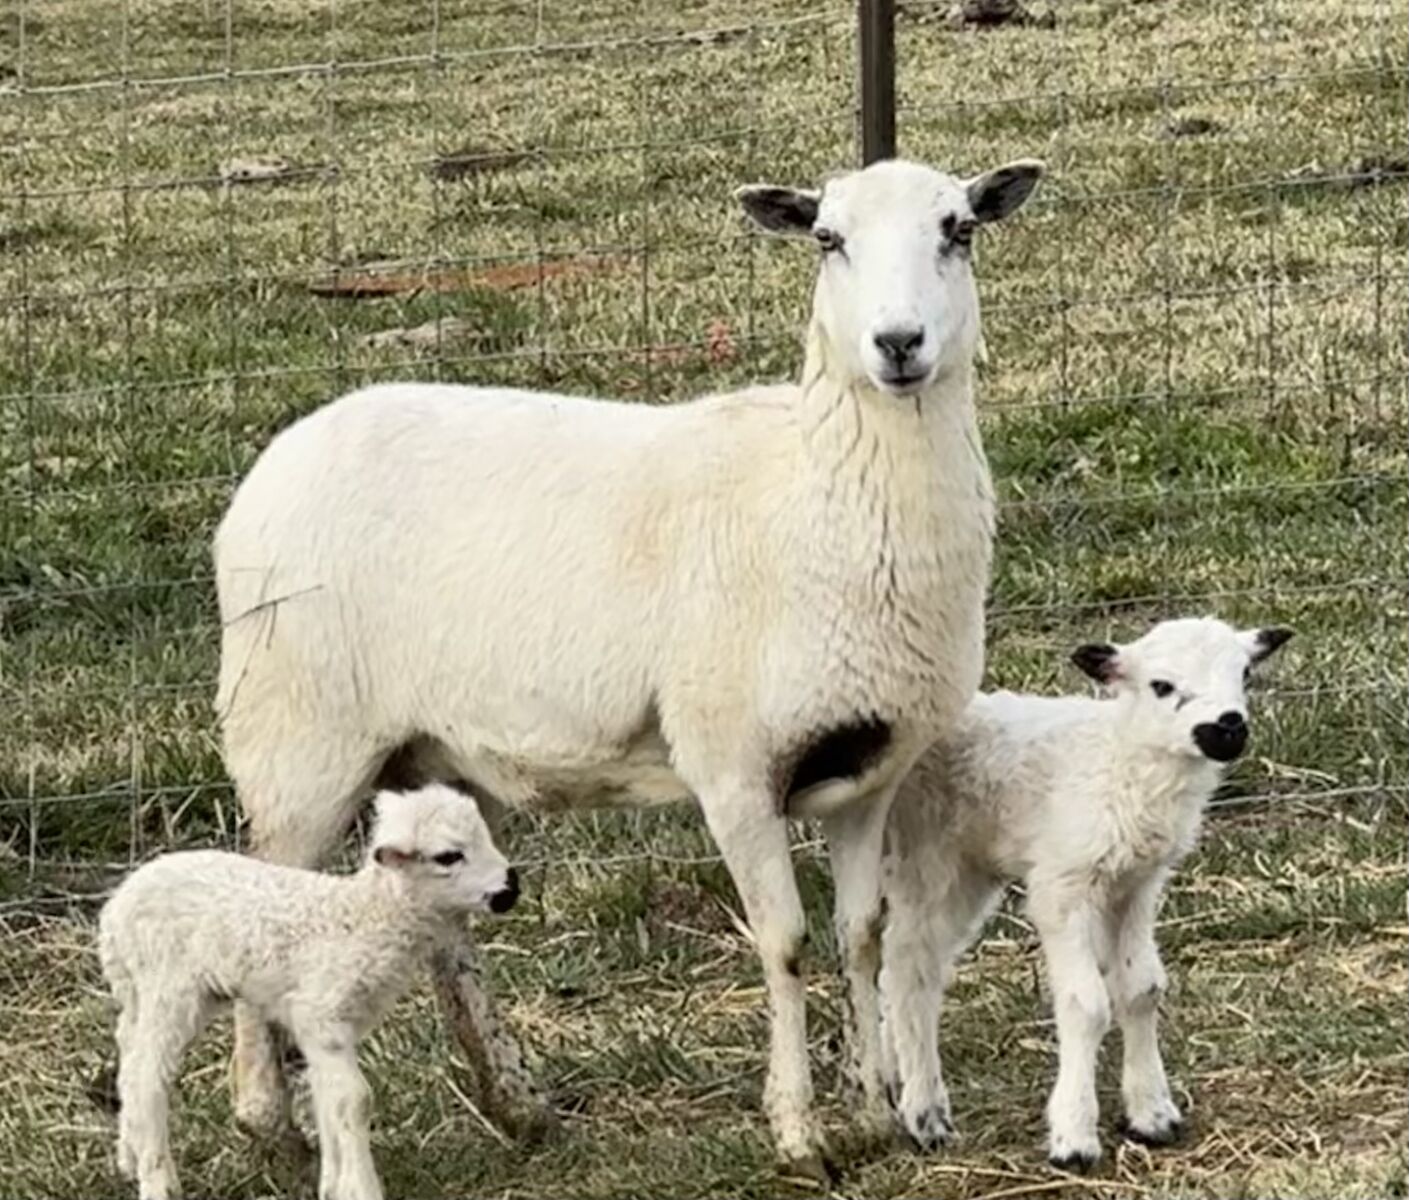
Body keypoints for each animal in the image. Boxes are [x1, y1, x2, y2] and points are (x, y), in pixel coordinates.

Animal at [97, 783, 519, 1200]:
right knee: (147, 1076)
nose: (511, 889)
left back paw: (129, 1157)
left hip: (141, 990)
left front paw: (332, 1183)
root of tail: (114, 912)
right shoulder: (321, 1016)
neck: (366, 918)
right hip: (170, 988)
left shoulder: (324, 1031)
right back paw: (158, 1182)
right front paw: (362, 1188)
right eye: (448, 856)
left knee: (128, 1059)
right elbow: (354, 1101)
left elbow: (328, 1101)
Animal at [213, 156, 1044, 1176]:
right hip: (297, 736)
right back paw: (266, 1120)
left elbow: (862, 936)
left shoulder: (868, 769)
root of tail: (278, 456)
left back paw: (518, 1105)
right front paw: (797, 1131)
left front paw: (878, 1109)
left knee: (443, 923)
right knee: (260, 892)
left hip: (436, 754)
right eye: (826, 239)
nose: (897, 344)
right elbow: (785, 943)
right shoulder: (732, 767)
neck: (814, 493)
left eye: (958, 229)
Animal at [878, 617, 1294, 1168]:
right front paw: (1073, 1137)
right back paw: (925, 1112)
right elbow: (1087, 1004)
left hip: (966, 870)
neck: (1120, 760)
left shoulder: (1136, 885)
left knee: (903, 967)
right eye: (1161, 686)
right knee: (910, 967)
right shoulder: (1063, 885)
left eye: (1245, 674)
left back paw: (902, 1088)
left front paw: (1152, 1115)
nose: (1227, 727)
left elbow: (1142, 989)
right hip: (929, 857)